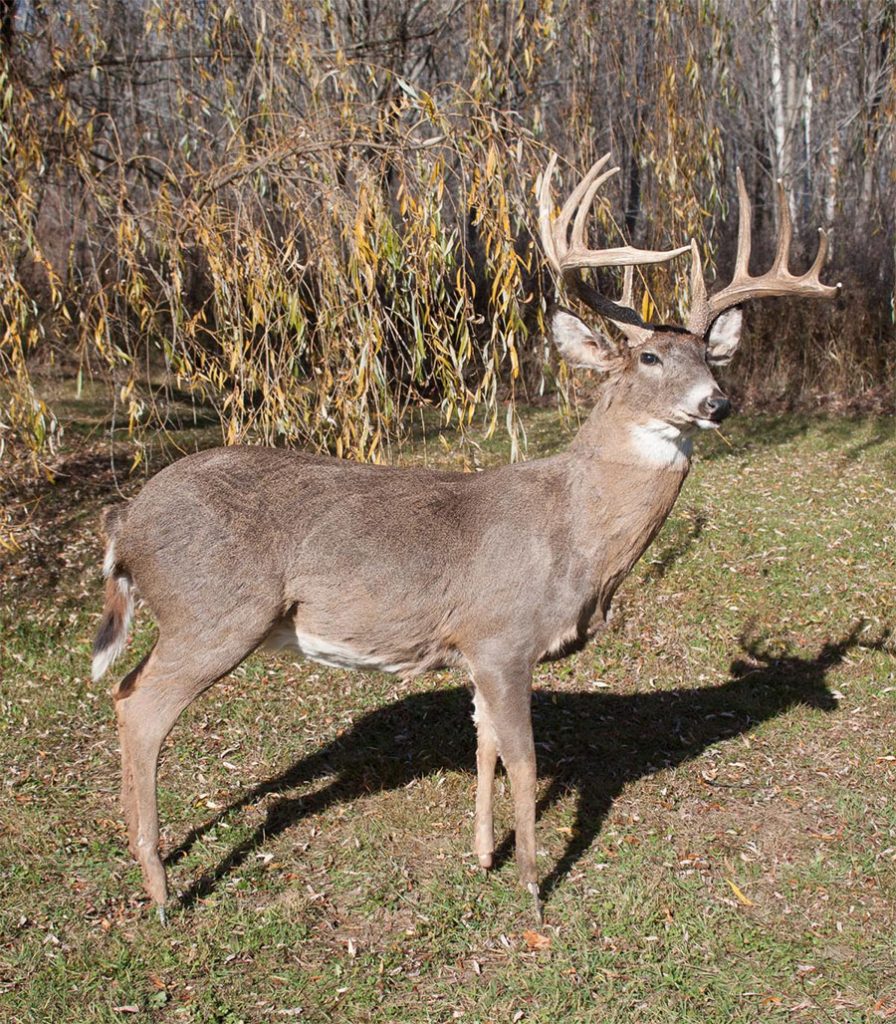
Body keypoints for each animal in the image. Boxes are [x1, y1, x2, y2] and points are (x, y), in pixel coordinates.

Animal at [92, 153, 839, 923]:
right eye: (650, 359)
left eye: (710, 358)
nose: (717, 403)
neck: (575, 537)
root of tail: (125, 521)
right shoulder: (504, 637)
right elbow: (527, 763)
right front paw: (535, 891)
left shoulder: (474, 652)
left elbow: (484, 749)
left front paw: (483, 856)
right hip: (214, 613)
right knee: (139, 707)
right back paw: (160, 890)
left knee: (133, 697)